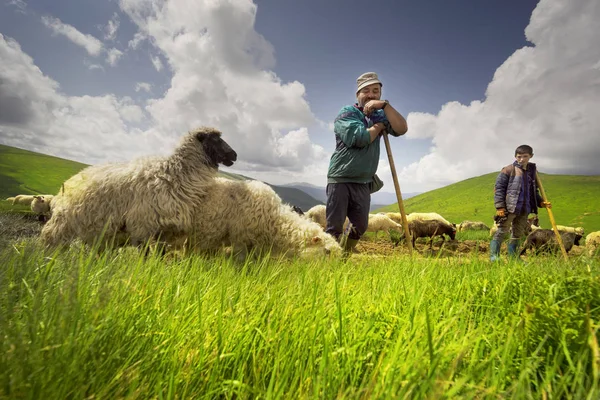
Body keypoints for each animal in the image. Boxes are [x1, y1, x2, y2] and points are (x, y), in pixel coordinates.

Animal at [39, 126, 237, 248]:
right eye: (215, 139)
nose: (234, 155)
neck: (174, 175)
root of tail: (72, 178)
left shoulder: (163, 230)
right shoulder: (143, 225)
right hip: (63, 222)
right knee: (50, 239)